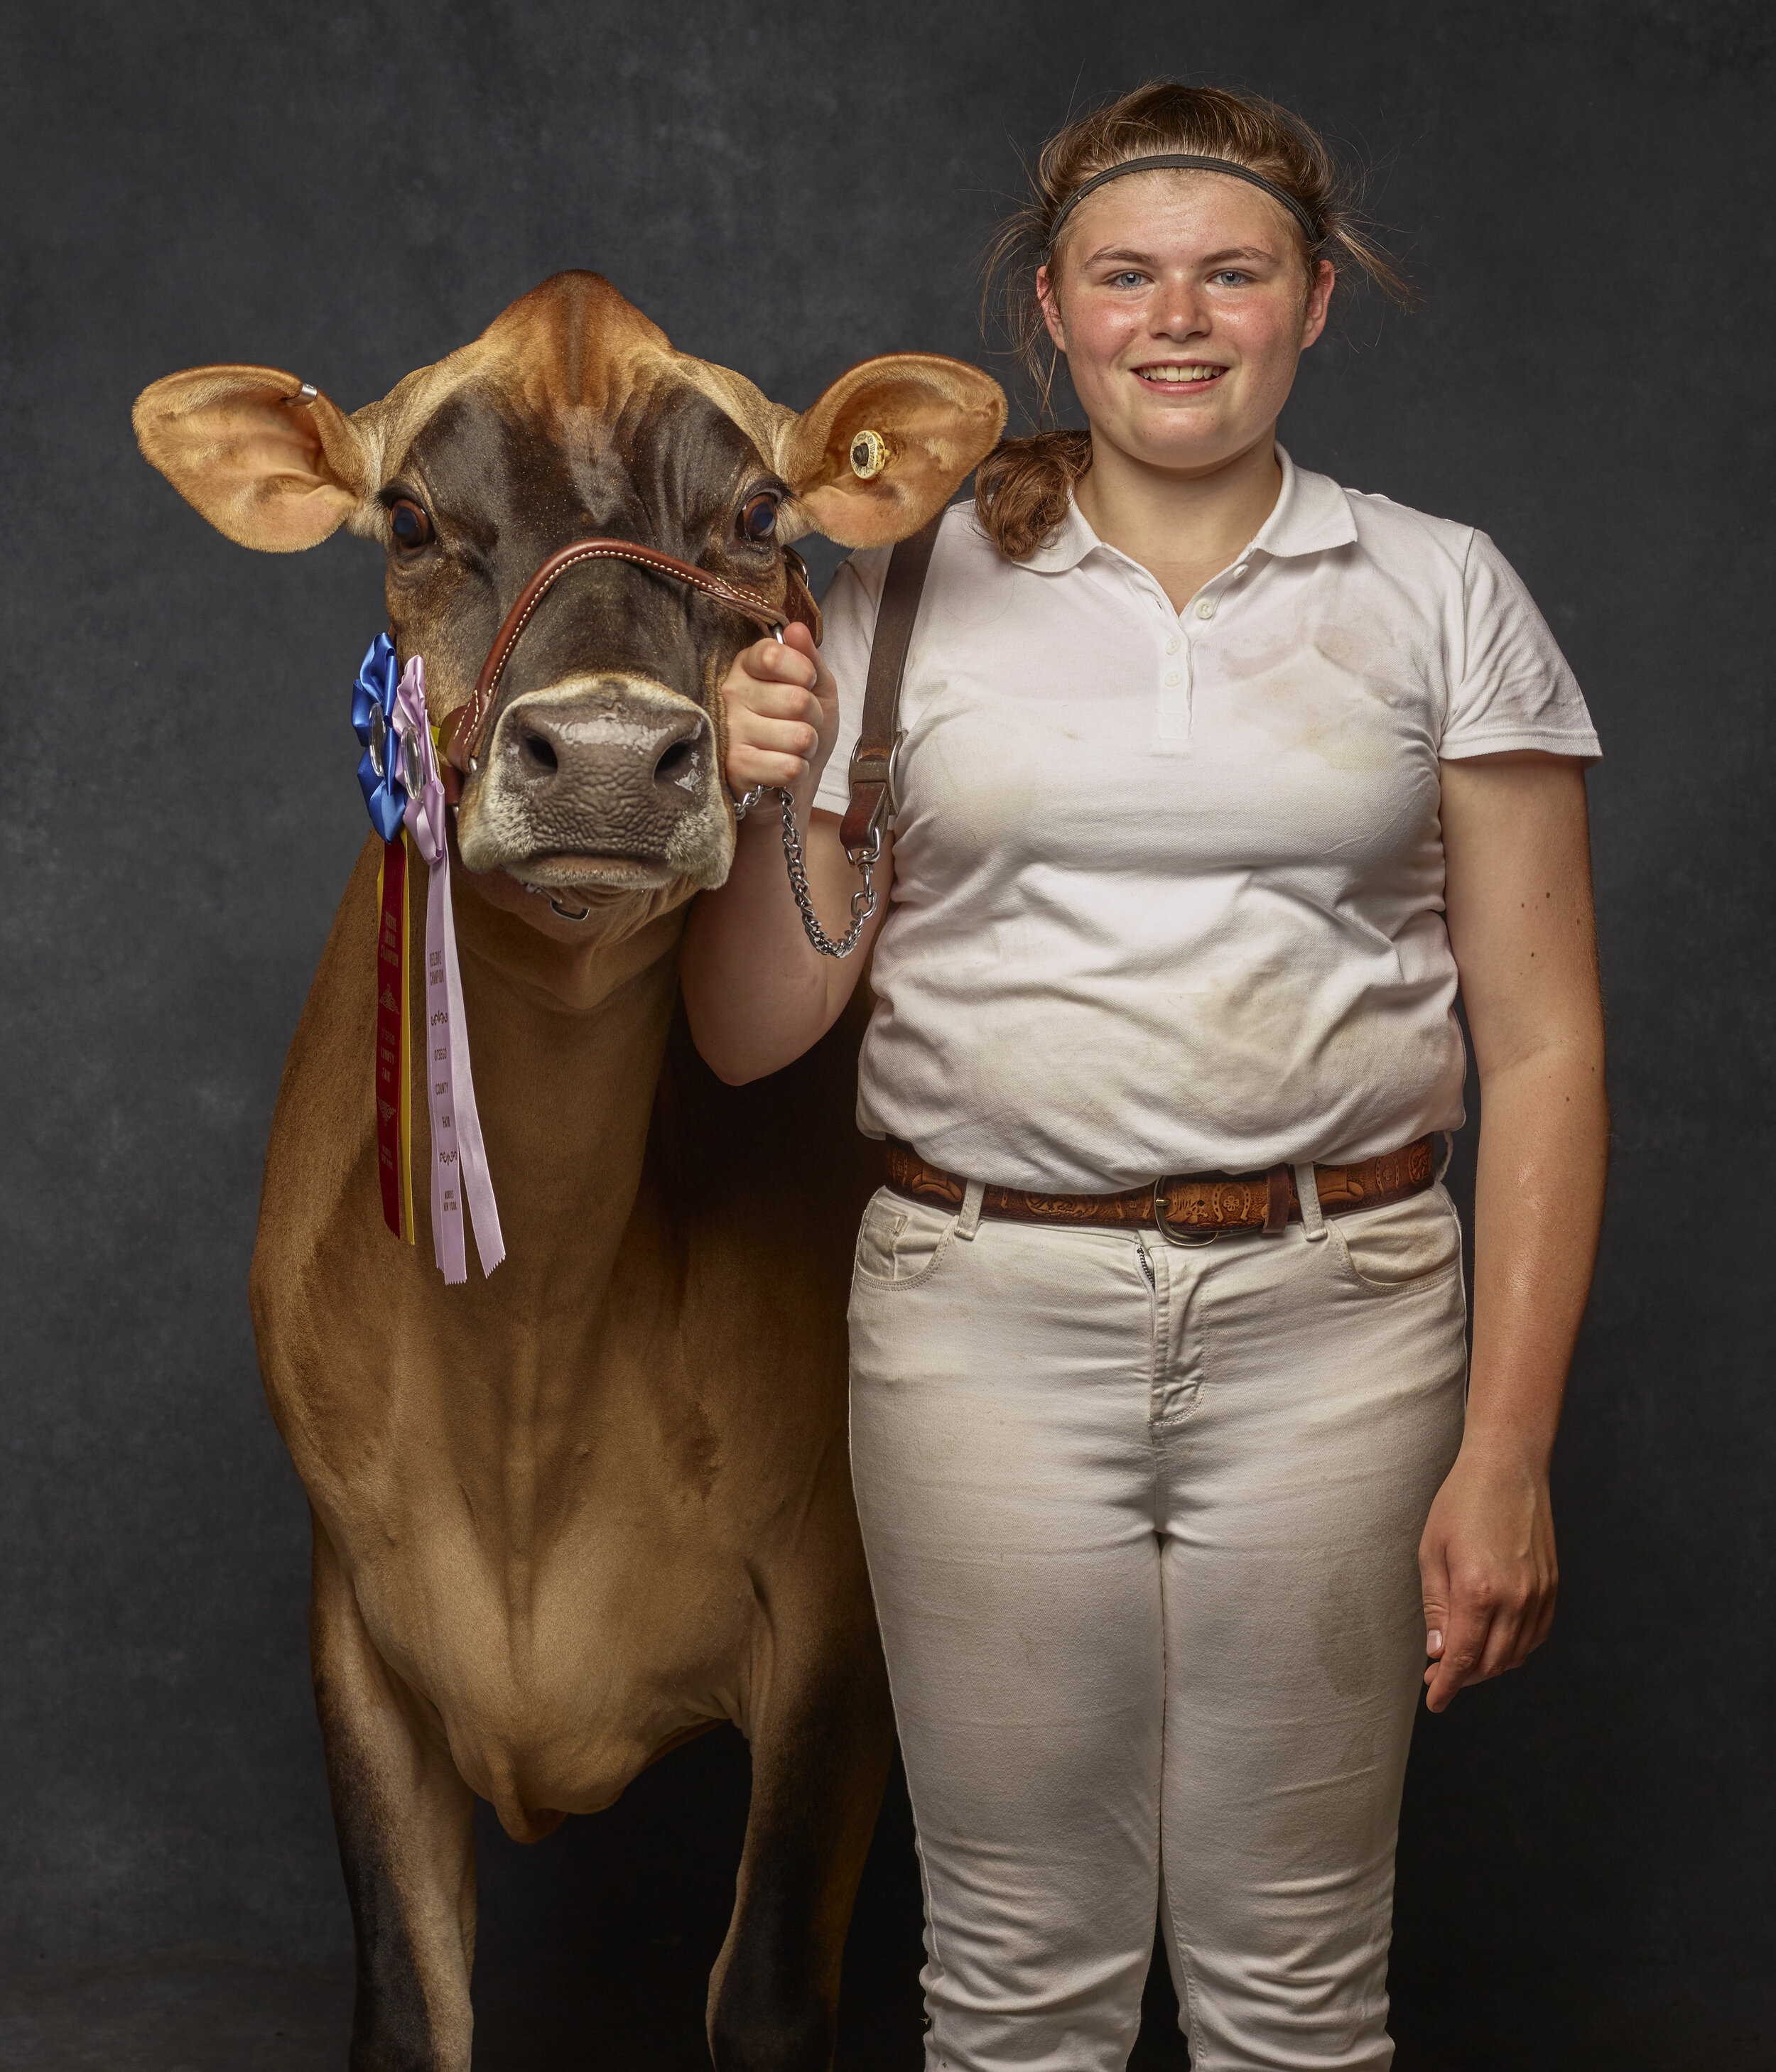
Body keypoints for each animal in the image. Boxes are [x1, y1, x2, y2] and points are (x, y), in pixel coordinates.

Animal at [131, 279, 1002, 2072]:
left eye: (758, 518)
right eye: (407, 519)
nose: (602, 751)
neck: (532, 1355)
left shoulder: (839, 1613)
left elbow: (764, 1992)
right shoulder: (357, 1615)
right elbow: (410, 2006)